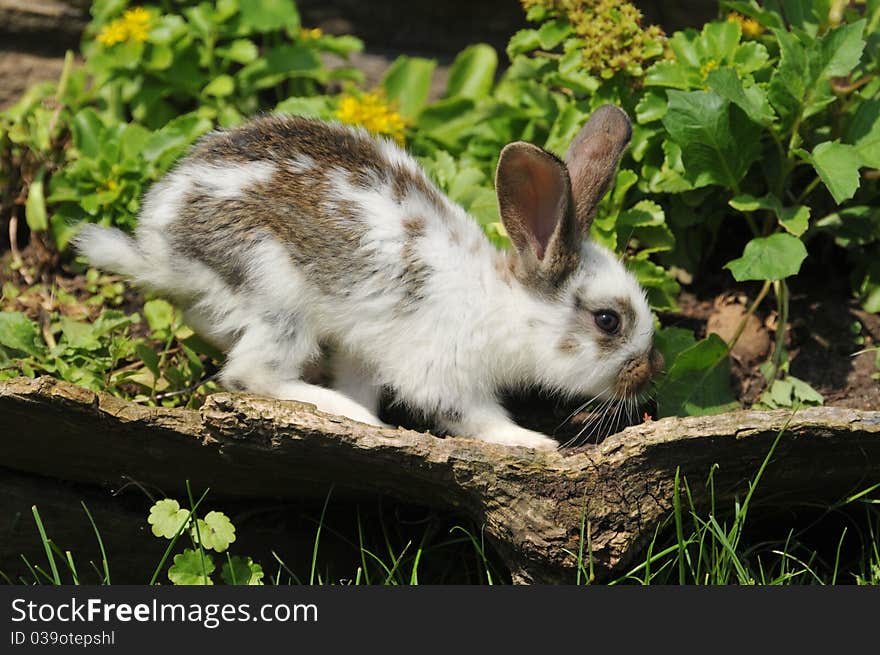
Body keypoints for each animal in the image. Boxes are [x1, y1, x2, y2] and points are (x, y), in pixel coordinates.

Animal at [77, 104, 660, 452]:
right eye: (608, 321)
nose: (649, 371)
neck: (505, 308)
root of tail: (159, 247)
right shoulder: (444, 374)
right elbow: (474, 417)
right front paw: (532, 442)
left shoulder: (368, 350)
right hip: (277, 295)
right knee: (250, 375)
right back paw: (347, 415)